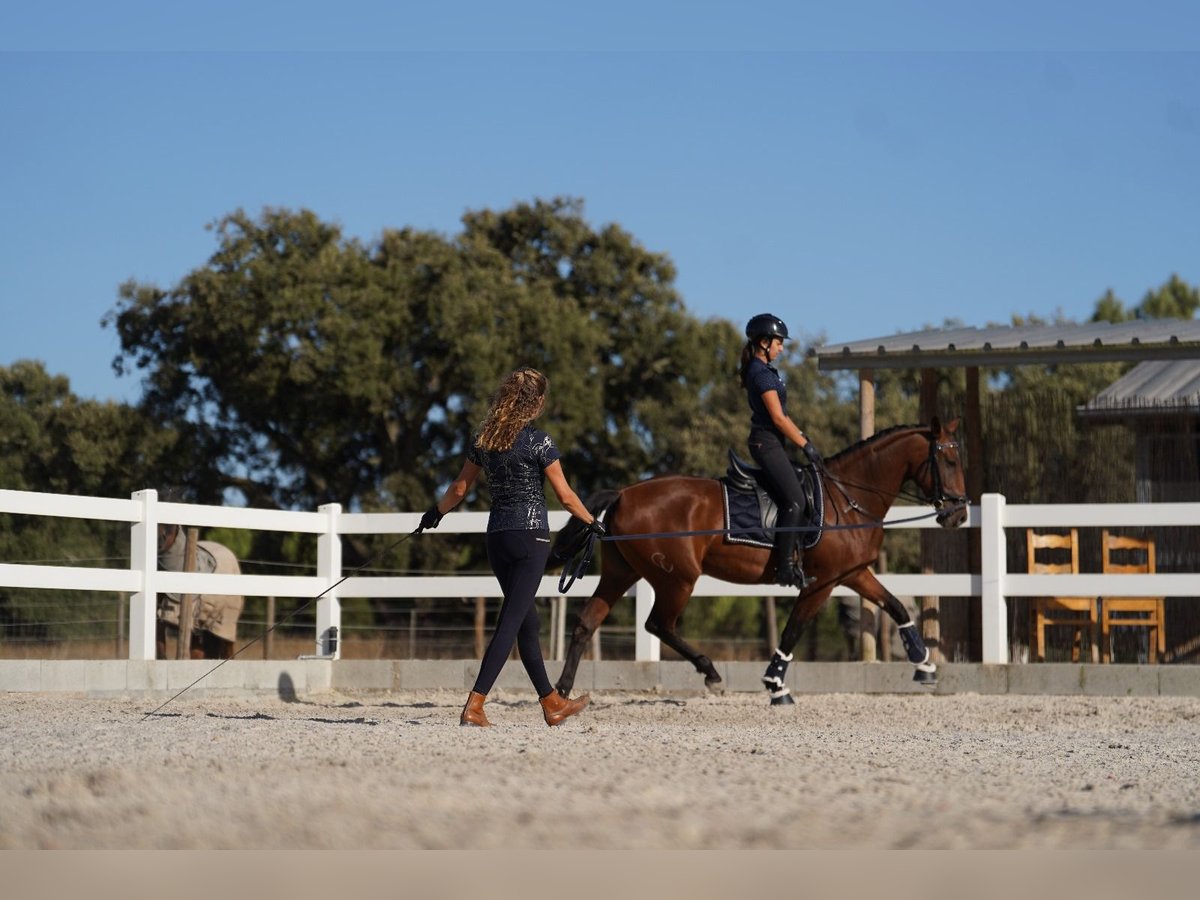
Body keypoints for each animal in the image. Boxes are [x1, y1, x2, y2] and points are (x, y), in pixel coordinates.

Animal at [552, 420, 964, 710]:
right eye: (949, 460)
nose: (958, 514)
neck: (848, 497)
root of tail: (624, 493)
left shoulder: (853, 573)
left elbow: (895, 606)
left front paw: (924, 665)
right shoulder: (822, 581)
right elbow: (793, 629)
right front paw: (776, 687)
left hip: (622, 572)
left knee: (587, 622)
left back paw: (563, 691)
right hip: (677, 579)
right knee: (658, 624)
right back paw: (711, 673)